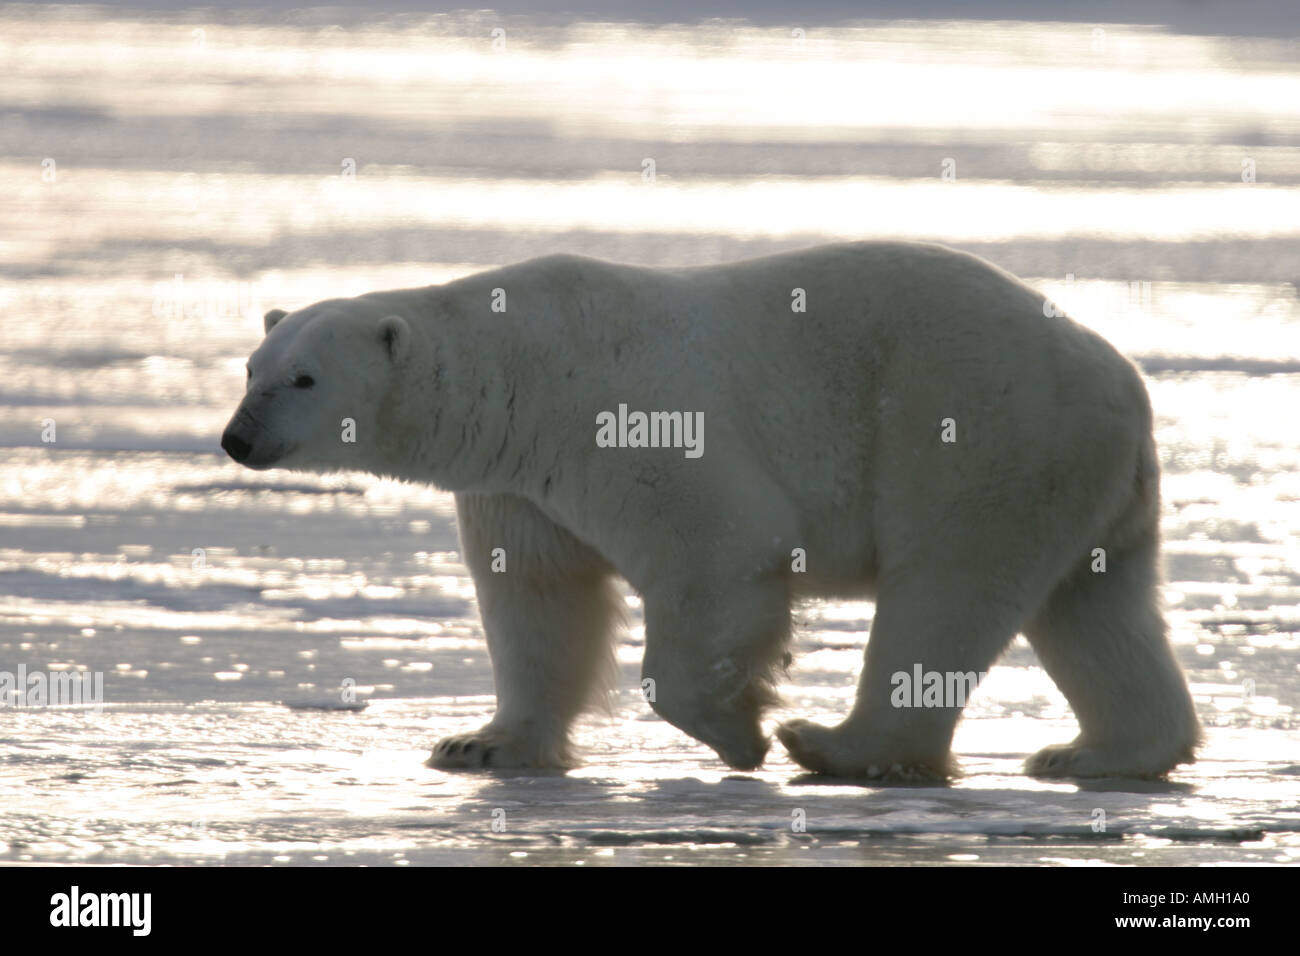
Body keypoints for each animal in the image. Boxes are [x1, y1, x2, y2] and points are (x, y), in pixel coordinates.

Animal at [220, 243, 1196, 780]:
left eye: (303, 379)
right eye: (250, 367)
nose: (237, 439)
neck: (519, 363)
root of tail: (1124, 381)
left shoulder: (625, 418)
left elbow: (718, 553)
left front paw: (742, 731)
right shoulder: (517, 483)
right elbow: (539, 602)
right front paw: (481, 744)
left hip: (979, 438)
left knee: (945, 592)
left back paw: (831, 745)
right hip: (1078, 478)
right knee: (1095, 607)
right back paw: (1101, 753)